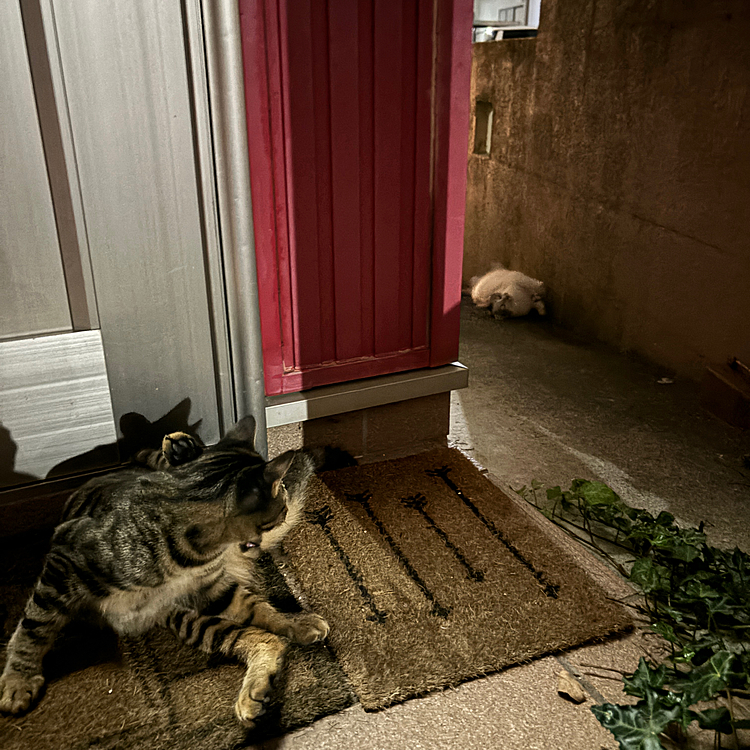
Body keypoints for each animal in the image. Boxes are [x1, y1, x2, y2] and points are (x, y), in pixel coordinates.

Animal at [0, 418, 346, 728]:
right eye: (281, 498)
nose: (286, 509)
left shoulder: (212, 588)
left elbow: (261, 611)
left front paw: (294, 622)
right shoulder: (64, 561)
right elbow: (34, 628)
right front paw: (19, 679)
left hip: (183, 616)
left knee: (265, 639)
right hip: (180, 615)